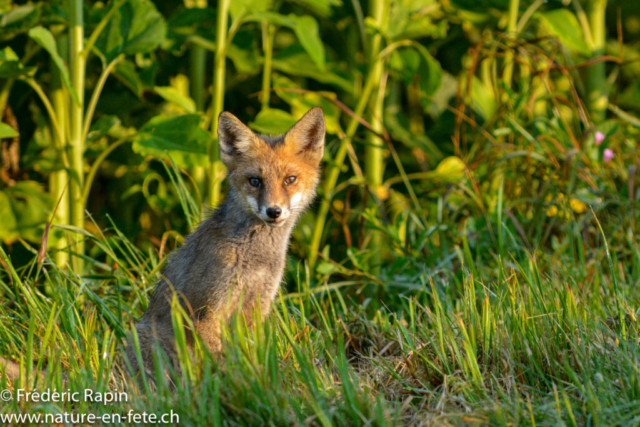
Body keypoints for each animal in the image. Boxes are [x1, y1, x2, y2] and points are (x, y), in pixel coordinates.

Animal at [125, 107, 324, 382]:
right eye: (255, 181)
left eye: (289, 179)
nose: (273, 211)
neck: (255, 261)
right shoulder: (206, 312)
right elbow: (221, 364)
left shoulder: (257, 307)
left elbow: (250, 357)